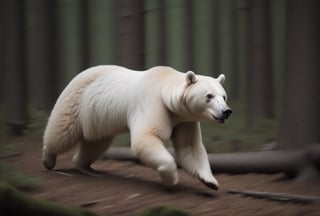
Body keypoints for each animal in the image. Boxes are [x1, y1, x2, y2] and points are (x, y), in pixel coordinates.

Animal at [43, 65, 232, 190]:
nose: (226, 111)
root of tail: (77, 75)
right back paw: (49, 159)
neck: (165, 86)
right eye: (209, 96)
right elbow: (147, 137)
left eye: (224, 96)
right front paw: (171, 179)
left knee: (96, 142)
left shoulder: (185, 119)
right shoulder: (153, 103)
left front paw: (210, 181)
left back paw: (85, 166)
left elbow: (190, 146)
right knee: (62, 131)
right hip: (77, 102)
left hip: (98, 118)